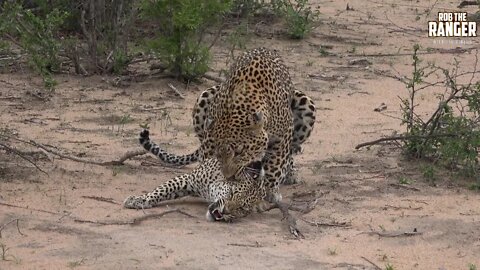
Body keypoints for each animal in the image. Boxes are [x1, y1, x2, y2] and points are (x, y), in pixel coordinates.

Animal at [124, 130, 268, 221]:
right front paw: (139, 200)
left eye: (242, 208)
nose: (225, 211)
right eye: (232, 193)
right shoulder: (189, 179)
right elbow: (162, 189)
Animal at [141, 47, 316, 202]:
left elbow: (276, 164)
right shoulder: (209, 142)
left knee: (291, 152)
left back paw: (290, 173)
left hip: (306, 104)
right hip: (205, 96)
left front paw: (270, 190)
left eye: (240, 151)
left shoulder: (283, 135)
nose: (229, 176)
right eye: (218, 152)